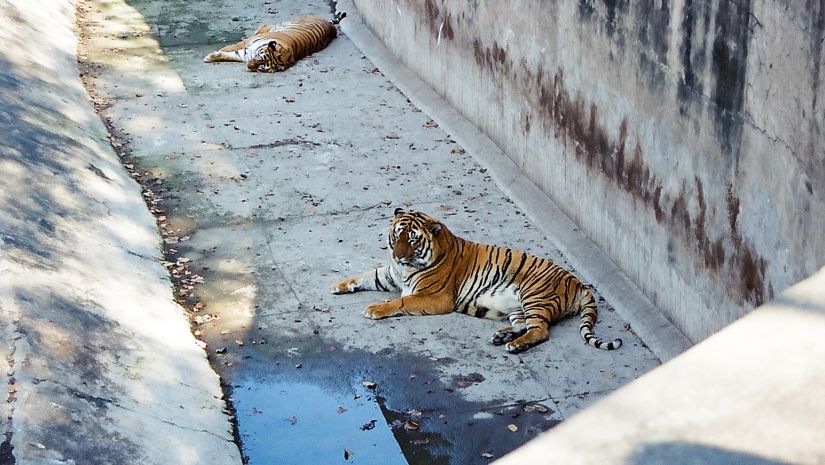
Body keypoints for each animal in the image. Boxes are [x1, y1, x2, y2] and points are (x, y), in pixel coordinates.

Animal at [203, 11, 344, 72]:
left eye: (262, 68)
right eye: (259, 58)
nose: (249, 66)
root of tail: (331, 27)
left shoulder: (245, 54)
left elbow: (230, 55)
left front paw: (211, 56)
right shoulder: (248, 44)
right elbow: (232, 47)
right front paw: (214, 54)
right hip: (284, 23)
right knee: (265, 26)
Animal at [332, 209, 620, 352]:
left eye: (412, 239)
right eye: (397, 235)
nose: (398, 255)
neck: (405, 269)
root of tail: (579, 283)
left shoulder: (436, 298)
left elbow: (400, 302)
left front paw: (374, 309)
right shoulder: (390, 275)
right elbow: (367, 274)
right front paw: (339, 285)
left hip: (534, 295)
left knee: (541, 330)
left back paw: (513, 345)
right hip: (518, 307)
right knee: (524, 325)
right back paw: (502, 336)